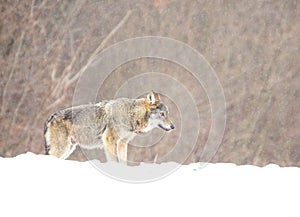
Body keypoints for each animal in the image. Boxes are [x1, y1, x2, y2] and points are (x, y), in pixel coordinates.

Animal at [43, 90, 175, 164]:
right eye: (162, 114)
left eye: (167, 114)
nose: (173, 126)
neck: (131, 115)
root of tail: (50, 117)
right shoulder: (109, 140)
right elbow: (114, 160)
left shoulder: (122, 143)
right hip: (62, 149)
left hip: (68, 149)